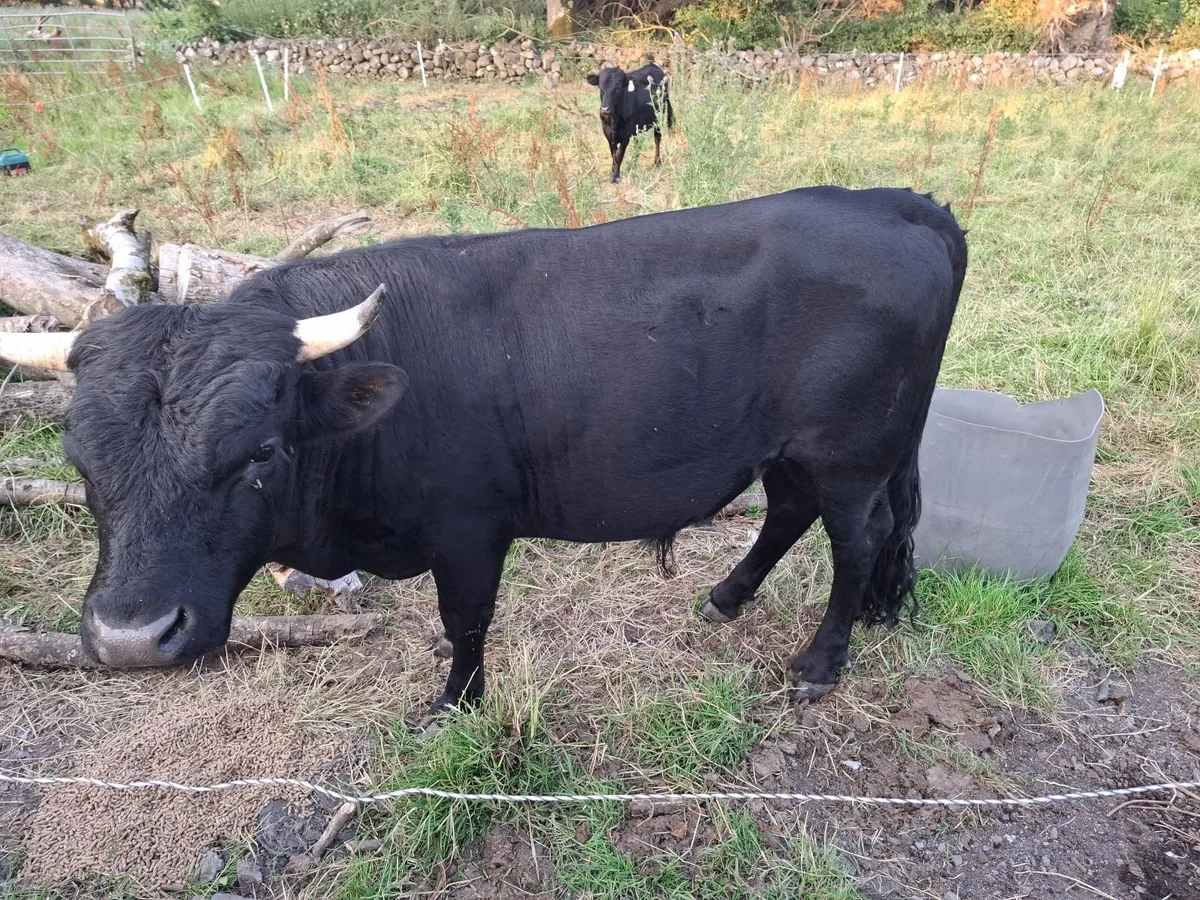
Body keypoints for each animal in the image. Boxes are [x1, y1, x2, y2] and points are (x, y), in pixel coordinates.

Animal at [0, 186, 967, 724]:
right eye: (79, 459)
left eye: (260, 451)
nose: (131, 640)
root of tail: (893, 201)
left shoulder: (469, 529)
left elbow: (466, 620)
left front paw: (454, 702)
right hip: (796, 451)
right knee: (789, 513)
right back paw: (726, 597)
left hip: (851, 456)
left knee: (857, 544)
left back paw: (820, 665)